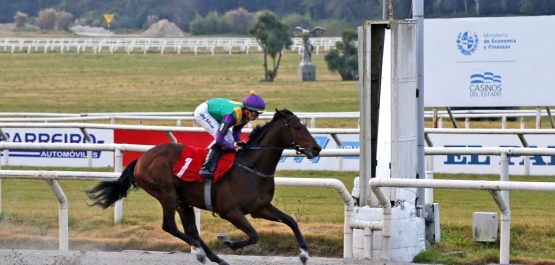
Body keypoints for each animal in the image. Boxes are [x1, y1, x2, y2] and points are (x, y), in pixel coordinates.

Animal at [86, 108, 322, 264]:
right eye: (297, 127)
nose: (317, 148)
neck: (251, 166)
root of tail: (141, 159)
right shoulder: (230, 211)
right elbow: (254, 234)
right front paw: (229, 242)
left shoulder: (260, 208)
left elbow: (290, 221)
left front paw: (304, 253)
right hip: (166, 193)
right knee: (170, 226)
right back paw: (202, 252)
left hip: (183, 200)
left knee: (190, 229)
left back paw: (212, 256)